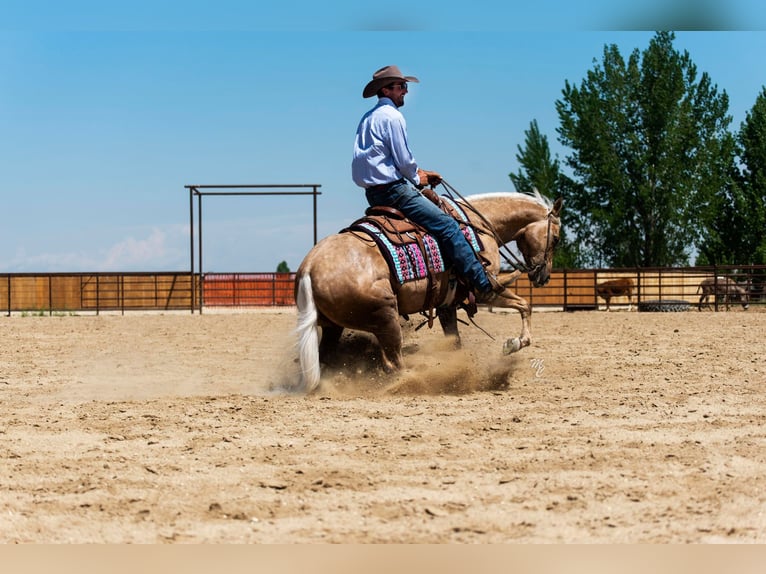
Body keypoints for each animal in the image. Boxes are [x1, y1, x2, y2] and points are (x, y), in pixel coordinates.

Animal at [294, 191, 564, 394]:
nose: (543, 276)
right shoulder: (486, 290)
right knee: (393, 363)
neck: (479, 226)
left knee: (326, 358)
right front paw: (513, 343)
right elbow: (525, 305)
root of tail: (310, 266)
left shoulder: (447, 305)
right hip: (386, 318)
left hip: (334, 327)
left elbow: (455, 341)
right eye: (557, 239)